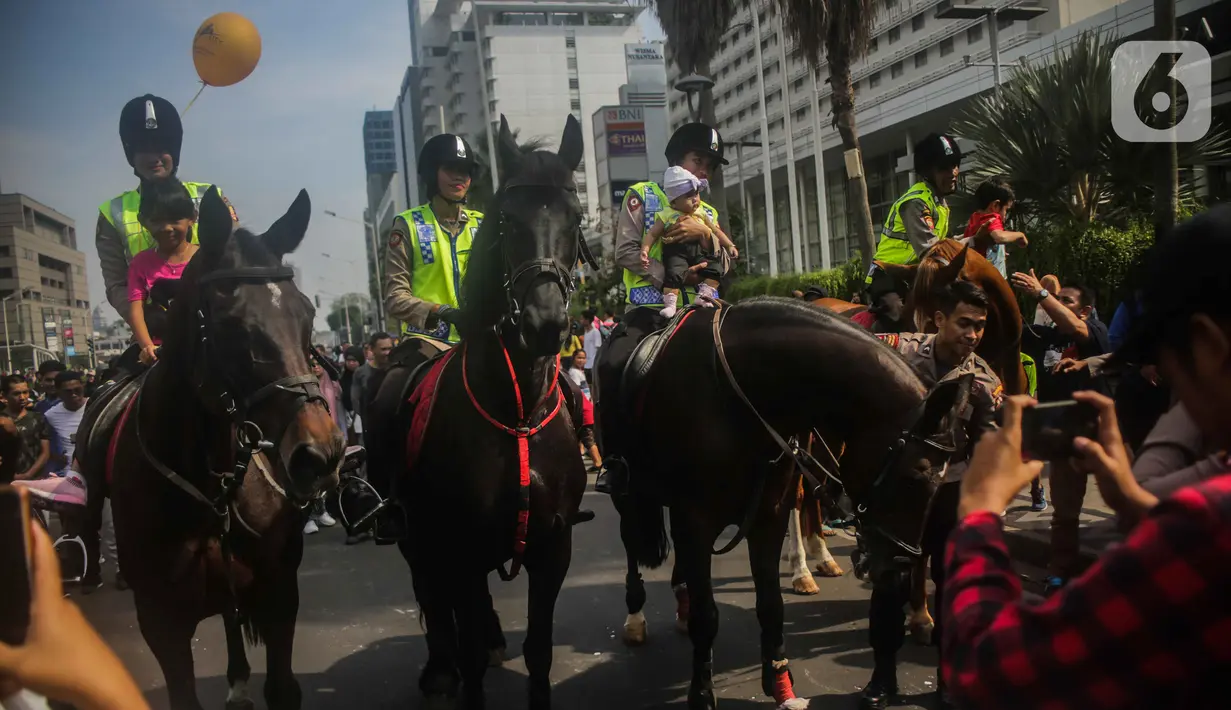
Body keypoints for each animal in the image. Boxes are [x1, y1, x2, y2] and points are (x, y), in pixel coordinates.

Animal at [391, 116, 588, 708]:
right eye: (506, 219)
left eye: (576, 218)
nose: (546, 324)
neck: (515, 409)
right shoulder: (461, 547)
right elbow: (470, 648)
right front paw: (461, 669)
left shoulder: (553, 546)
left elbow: (539, 650)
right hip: (417, 534)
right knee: (431, 592)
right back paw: (439, 668)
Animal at [600, 299, 974, 708]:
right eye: (916, 475)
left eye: (943, 479)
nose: (900, 568)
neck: (736, 400)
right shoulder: (695, 520)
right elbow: (707, 615)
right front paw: (701, 693)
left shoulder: (767, 517)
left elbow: (770, 605)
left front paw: (781, 684)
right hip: (625, 494)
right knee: (631, 544)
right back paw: (635, 617)